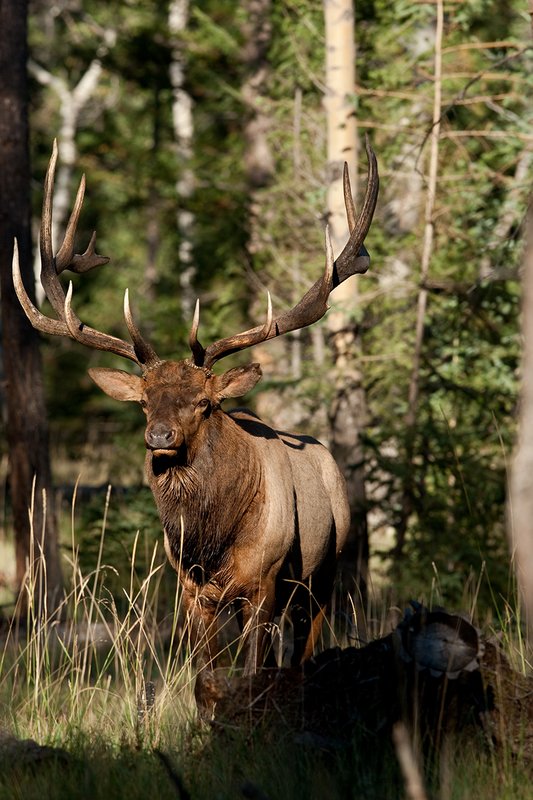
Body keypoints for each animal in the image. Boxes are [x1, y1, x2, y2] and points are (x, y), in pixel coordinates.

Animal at [13, 139, 378, 715]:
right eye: (144, 402)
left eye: (204, 402)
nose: (159, 437)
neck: (210, 540)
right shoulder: (191, 590)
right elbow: (206, 682)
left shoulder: (265, 581)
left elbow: (251, 675)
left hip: (325, 573)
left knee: (300, 654)